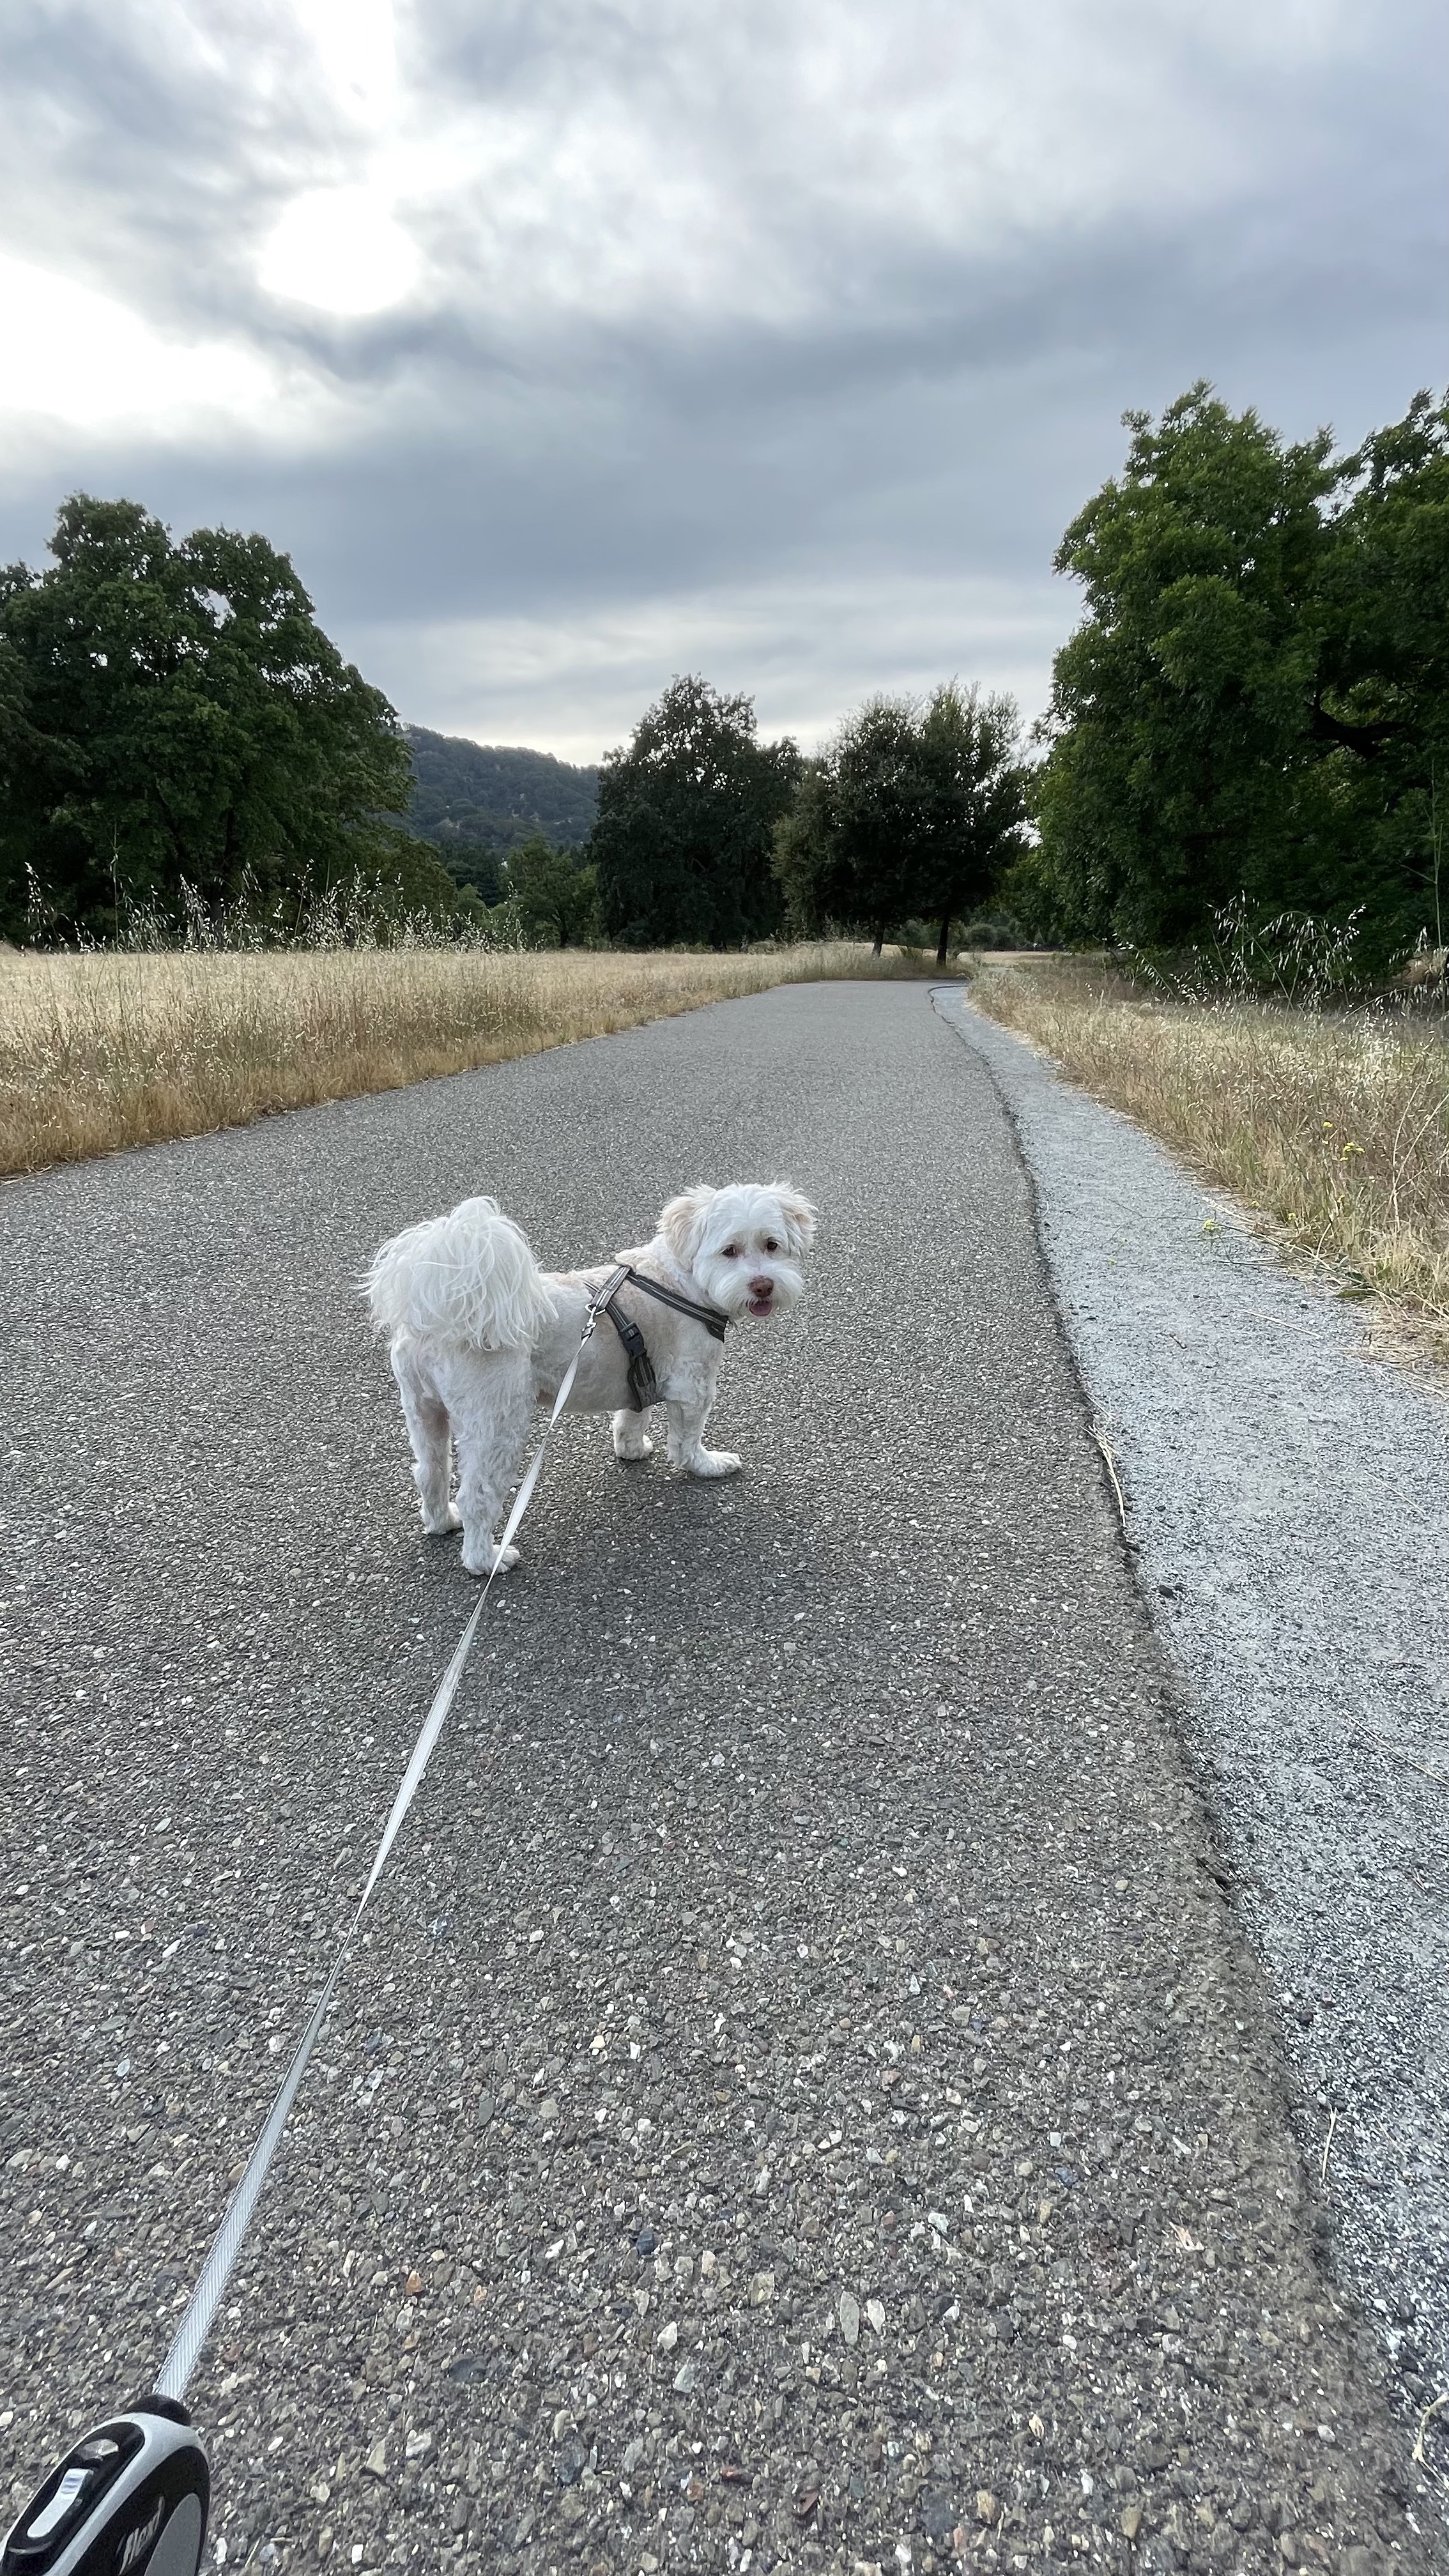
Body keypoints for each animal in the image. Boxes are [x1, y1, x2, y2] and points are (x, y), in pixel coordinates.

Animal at [360, 1179, 815, 1576]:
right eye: (729, 1251)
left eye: (772, 1245)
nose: (762, 1285)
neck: (680, 1278)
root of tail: (441, 1319)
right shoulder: (693, 1384)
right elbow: (687, 1440)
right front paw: (707, 1465)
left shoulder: (641, 1372)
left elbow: (633, 1415)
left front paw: (632, 1449)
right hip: (496, 1421)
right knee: (477, 1495)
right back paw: (486, 1560)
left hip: (423, 1408)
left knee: (430, 1471)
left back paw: (441, 1521)